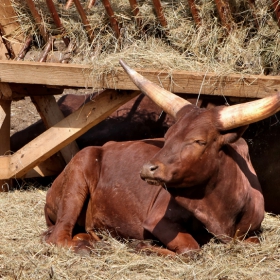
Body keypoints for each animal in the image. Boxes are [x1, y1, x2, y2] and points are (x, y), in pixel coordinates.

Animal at [43, 59, 280, 256]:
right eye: (166, 137)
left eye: (199, 141)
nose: (147, 169)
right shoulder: (158, 220)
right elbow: (191, 250)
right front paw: (143, 245)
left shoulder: (252, 233)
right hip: (77, 176)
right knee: (58, 237)